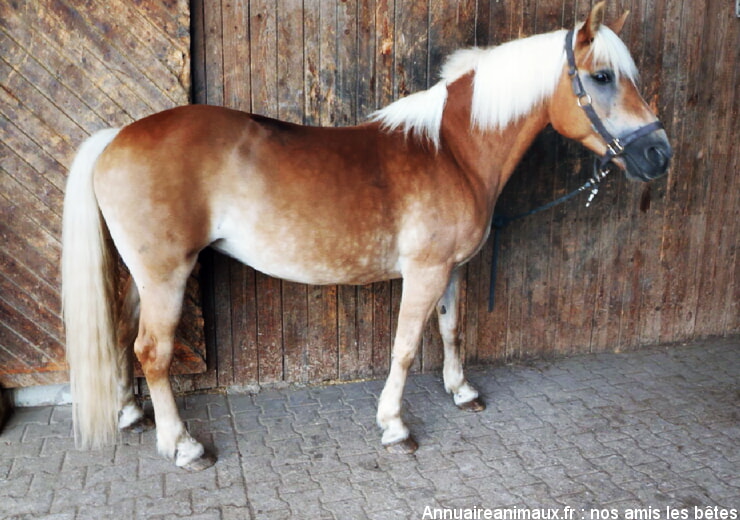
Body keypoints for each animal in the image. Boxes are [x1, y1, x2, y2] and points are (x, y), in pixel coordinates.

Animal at [62, 2, 671, 471]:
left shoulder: (452, 269)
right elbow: (404, 347)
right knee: (153, 352)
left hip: (144, 275)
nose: (658, 154)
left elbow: (450, 330)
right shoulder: (424, 272)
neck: (453, 153)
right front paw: (394, 426)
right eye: (602, 77)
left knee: (123, 335)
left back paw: (130, 413)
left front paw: (462, 392)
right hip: (167, 274)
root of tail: (117, 137)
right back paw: (183, 445)